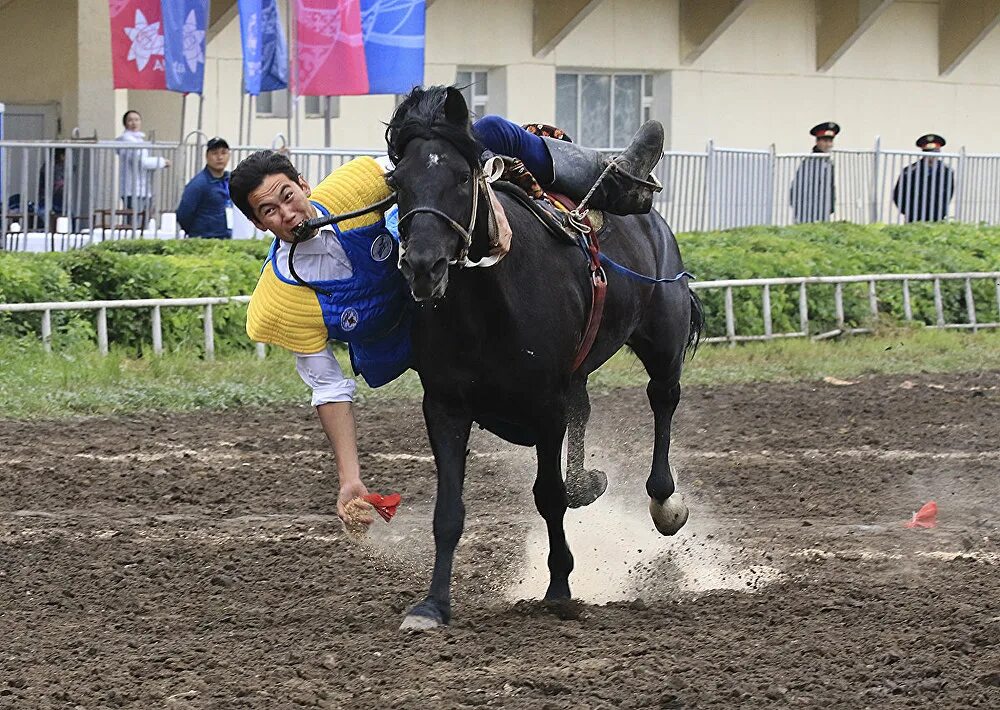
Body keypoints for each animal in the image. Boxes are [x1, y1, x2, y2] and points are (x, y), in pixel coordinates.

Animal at [386, 85, 700, 636]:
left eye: (461, 177)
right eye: (398, 180)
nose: (424, 265)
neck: (487, 301)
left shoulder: (546, 404)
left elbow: (549, 495)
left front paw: (559, 588)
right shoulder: (444, 405)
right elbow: (449, 511)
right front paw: (433, 605)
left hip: (663, 334)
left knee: (663, 400)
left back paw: (665, 501)